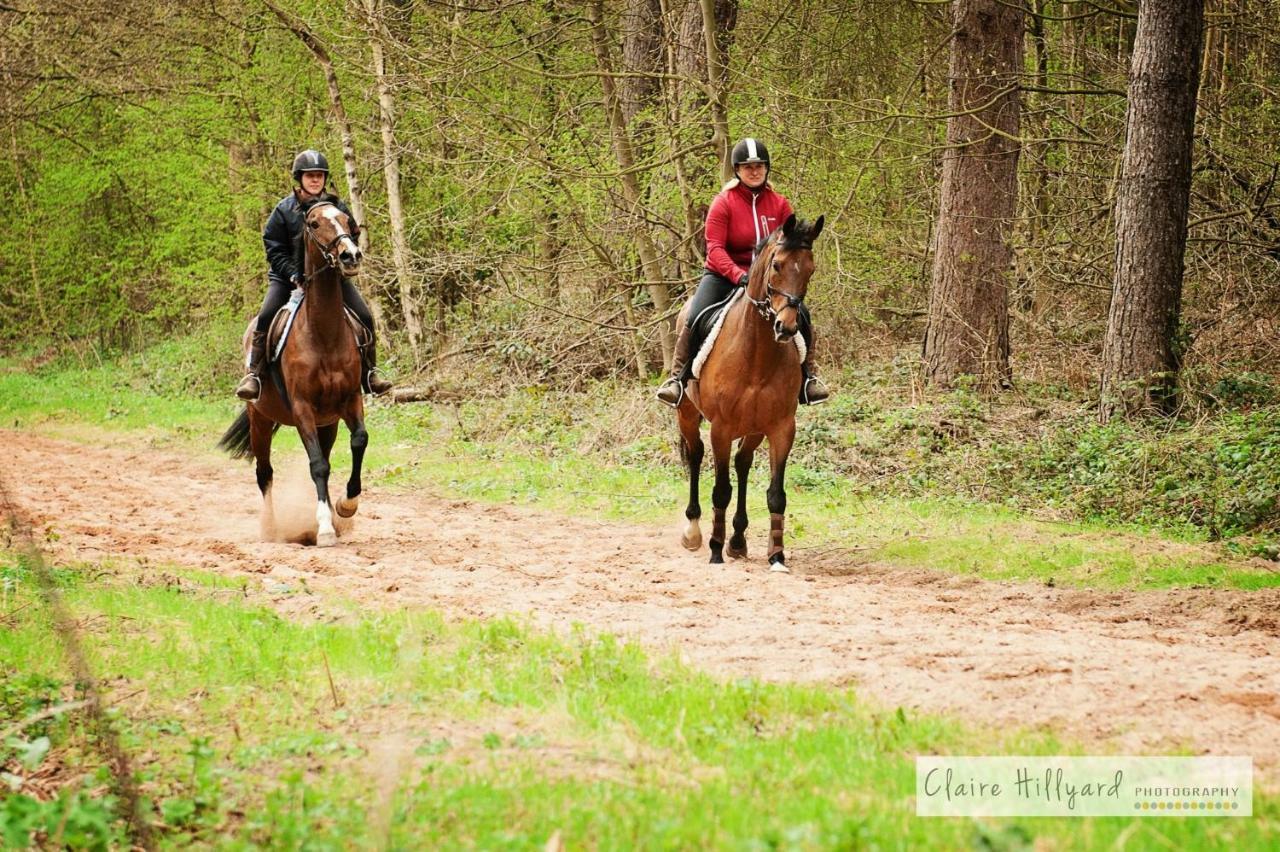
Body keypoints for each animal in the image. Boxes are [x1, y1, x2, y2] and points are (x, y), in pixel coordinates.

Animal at [217, 198, 368, 544]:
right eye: (313, 224)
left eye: (347, 221)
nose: (350, 256)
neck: (324, 334)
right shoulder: (302, 409)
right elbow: (317, 466)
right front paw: (324, 528)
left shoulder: (350, 401)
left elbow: (358, 441)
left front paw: (346, 506)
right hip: (260, 420)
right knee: (265, 472)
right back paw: (272, 529)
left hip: (328, 423)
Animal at [675, 212, 824, 570]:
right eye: (777, 265)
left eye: (810, 268)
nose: (787, 327)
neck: (756, 352)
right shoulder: (721, 427)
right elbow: (720, 489)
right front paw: (715, 550)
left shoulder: (782, 427)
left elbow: (776, 494)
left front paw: (777, 555)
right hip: (688, 414)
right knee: (696, 455)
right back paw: (694, 531)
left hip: (754, 427)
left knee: (742, 463)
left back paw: (739, 540)